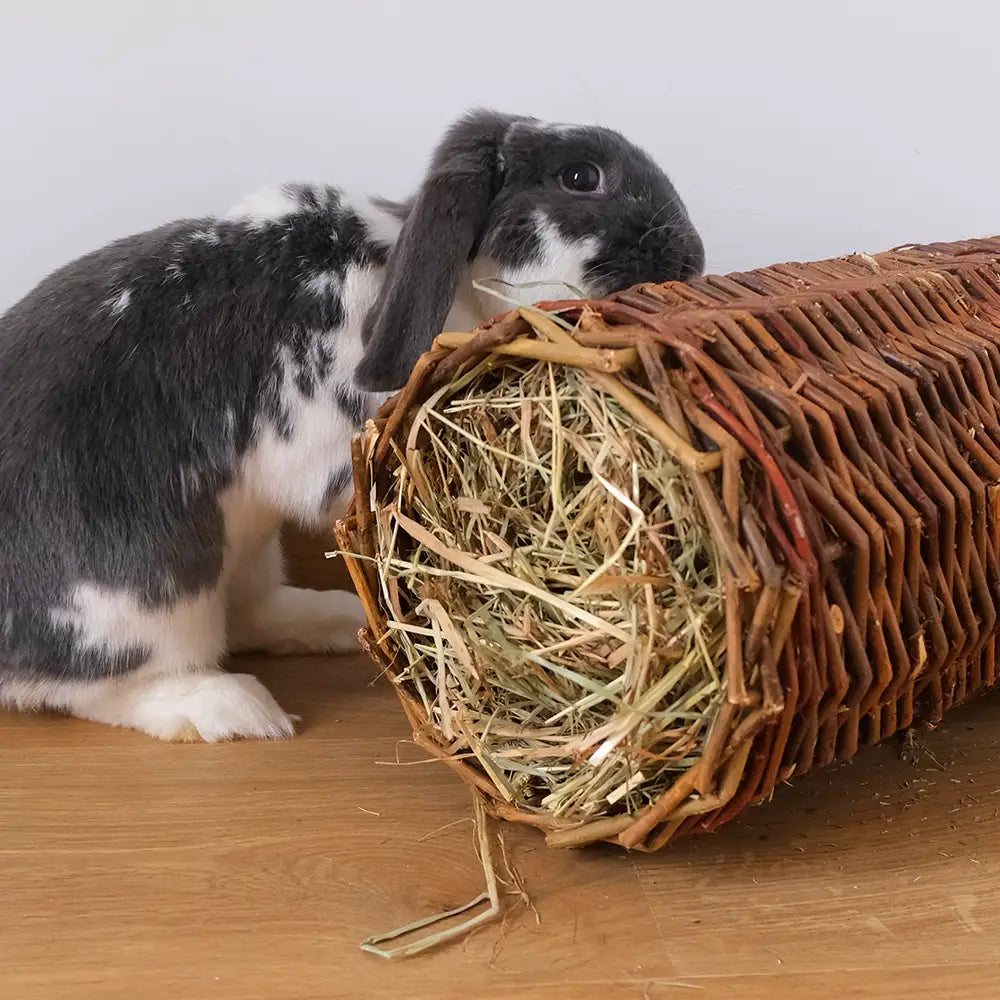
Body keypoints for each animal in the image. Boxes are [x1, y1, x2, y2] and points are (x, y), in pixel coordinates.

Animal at [0, 108, 704, 742]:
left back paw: (331, 620)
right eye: (581, 177)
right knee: (100, 686)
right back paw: (230, 709)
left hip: (245, 550)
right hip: (141, 597)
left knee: (250, 613)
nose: (693, 256)